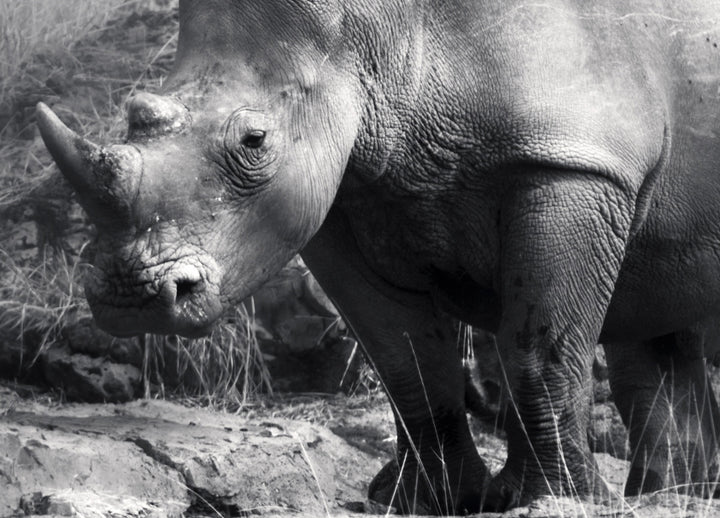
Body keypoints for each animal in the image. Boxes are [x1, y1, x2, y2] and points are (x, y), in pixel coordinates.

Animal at [36, 0, 720, 514]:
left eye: (255, 141)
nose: (131, 298)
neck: (367, 35)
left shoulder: (570, 160)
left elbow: (536, 344)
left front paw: (555, 500)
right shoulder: (341, 194)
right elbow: (404, 358)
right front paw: (430, 500)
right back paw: (674, 496)